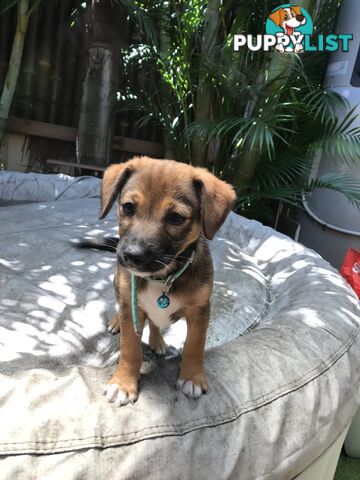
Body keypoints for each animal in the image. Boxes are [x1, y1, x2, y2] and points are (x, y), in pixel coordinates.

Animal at [100, 157, 235, 404]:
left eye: (176, 217)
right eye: (128, 207)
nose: (132, 255)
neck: (161, 278)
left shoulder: (200, 310)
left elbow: (195, 345)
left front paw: (192, 377)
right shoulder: (132, 307)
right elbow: (130, 348)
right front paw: (123, 383)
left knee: (155, 323)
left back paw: (157, 342)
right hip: (118, 283)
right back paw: (117, 322)